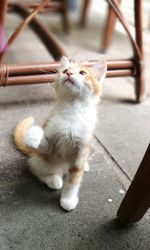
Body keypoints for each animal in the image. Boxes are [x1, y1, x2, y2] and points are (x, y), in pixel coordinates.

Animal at [13, 56, 106, 211]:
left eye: (82, 73)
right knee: (37, 170)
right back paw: (53, 179)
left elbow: (74, 180)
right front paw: (32, 136)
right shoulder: (50, 145)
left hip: (90, 147)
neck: (72, 110)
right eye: (65, 70)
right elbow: (39, 135)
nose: (68, 73)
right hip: (39, 160)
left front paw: (68, 199)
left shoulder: (81, 150)